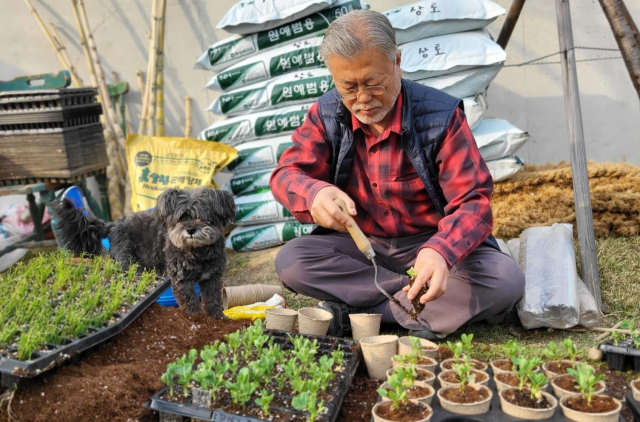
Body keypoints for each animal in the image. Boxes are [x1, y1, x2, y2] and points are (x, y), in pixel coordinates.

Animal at [55, 186, 235, 318]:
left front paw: (217, 318)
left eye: (202, 217)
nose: (190, 229)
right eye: (181, 218)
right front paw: (196, 318)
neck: (197, 250)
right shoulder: (181, 279)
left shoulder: (212, 277)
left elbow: (213, 300)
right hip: (127, 264)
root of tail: (113, 225)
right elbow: (190, 301)